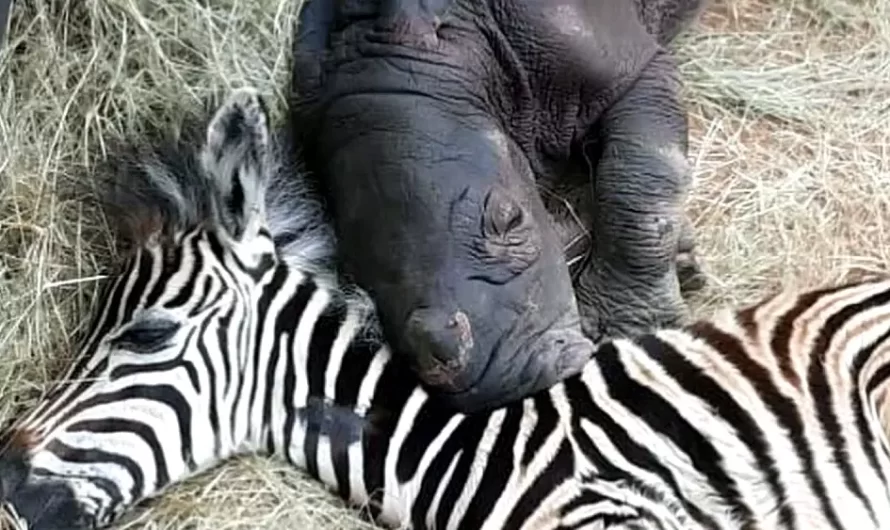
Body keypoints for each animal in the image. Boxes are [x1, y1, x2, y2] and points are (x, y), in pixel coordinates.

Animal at [292, 0, 708, 410]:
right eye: (353, 276)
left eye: (510, 220)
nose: (507, 382)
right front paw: (684, 260)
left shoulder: (631, 70)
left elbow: (643, 180)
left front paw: (629, 329)